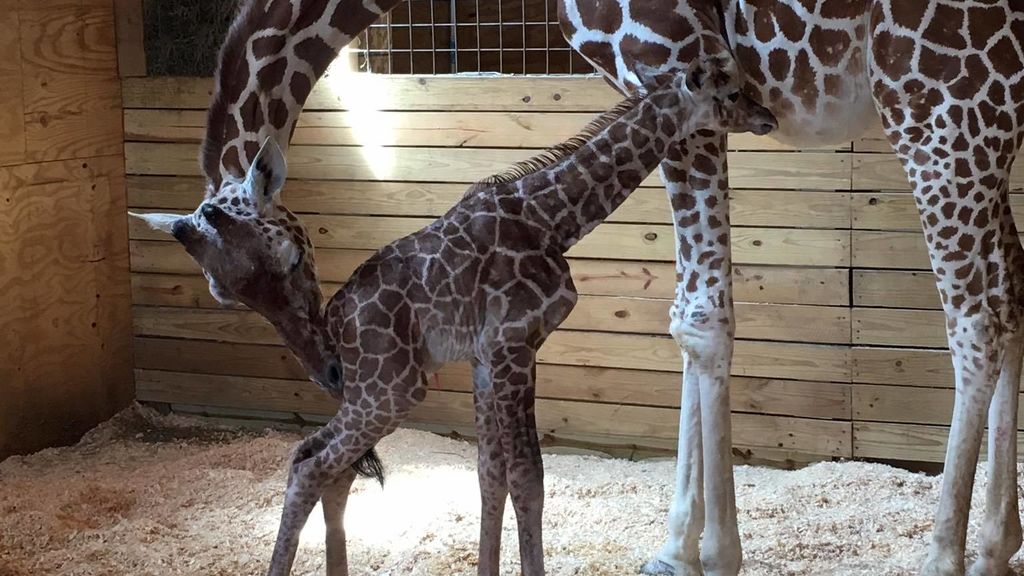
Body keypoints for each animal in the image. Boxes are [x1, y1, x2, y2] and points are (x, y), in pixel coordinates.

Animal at [134, 64, 776, 575]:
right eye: (732, 91)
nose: (768, 116)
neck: (553, 219)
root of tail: (336, 329)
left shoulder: (489, 356)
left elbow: (491, 473)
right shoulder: (516, 344)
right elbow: (528, 478)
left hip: (373, 390)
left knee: (319, 460)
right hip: (392, 389)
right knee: (312, 465)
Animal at [558, 1, 1024, 576]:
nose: (766, 120)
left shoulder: (673, 51)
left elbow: (701, 317)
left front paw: (714, 551)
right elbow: (686, 312)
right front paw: (675, 551)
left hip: (942, 112)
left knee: (977, 324)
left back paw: (942, 557)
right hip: (989, 129)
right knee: (1013, 294)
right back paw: (995, 547)